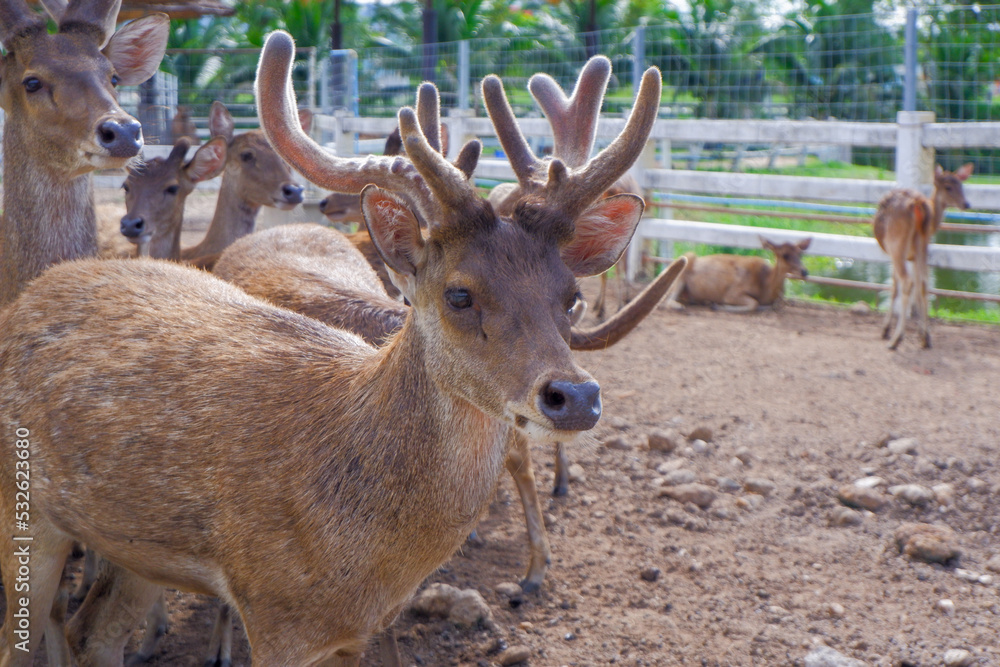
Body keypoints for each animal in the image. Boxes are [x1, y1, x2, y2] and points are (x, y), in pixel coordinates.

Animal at [1, 31, 672, 667]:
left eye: (570, 296)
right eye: (458, 294)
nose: (575, 396)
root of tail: (33, 291)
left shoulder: (358, 631)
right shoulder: (273, 613)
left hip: (136, 546)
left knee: (94, 633)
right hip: (24, 506)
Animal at [664, 236, 812, 314]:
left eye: (801, 254)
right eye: (785, 255)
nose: (805, 271)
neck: (766, 286)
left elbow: (777, 304)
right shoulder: (732, 293)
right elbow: (754, 303)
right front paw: (718, 306)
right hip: (681, 270)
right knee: (667, 300)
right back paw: (681, 306)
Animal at [872, 163, 972, 350]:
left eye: (961, 186)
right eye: (949, 187)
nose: (967, 204)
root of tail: (917, 203)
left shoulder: (901, 255)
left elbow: (894, 287)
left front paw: (885, 329)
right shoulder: (914, 254)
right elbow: (918, 287)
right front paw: (921, 332)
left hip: (896, 244)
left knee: (906, 281)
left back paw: (895, 339)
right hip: (921, 244)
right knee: (924, 284)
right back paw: (926, 338)